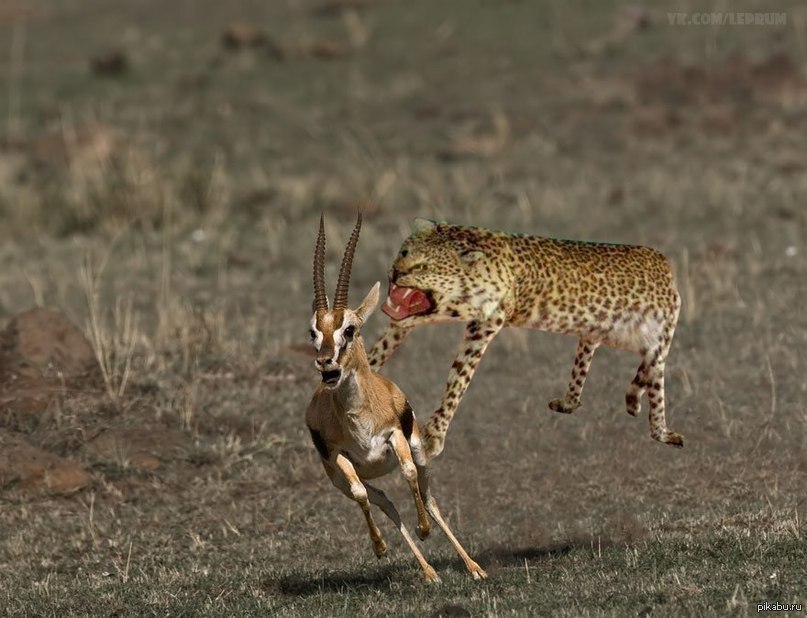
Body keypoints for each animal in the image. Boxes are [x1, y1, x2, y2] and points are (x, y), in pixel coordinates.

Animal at [370, 218, 684, 458]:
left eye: (424, 266)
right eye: (404, 251)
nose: (395, 272)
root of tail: (664, 264)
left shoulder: (485, 324)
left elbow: (458, 380)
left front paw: (433, 436)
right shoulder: (411, 319)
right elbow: (378, 349)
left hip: (656, 340)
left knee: (656, 383)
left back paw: (662, 431)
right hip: (597, 334)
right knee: (590, 364)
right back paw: (576, 402)